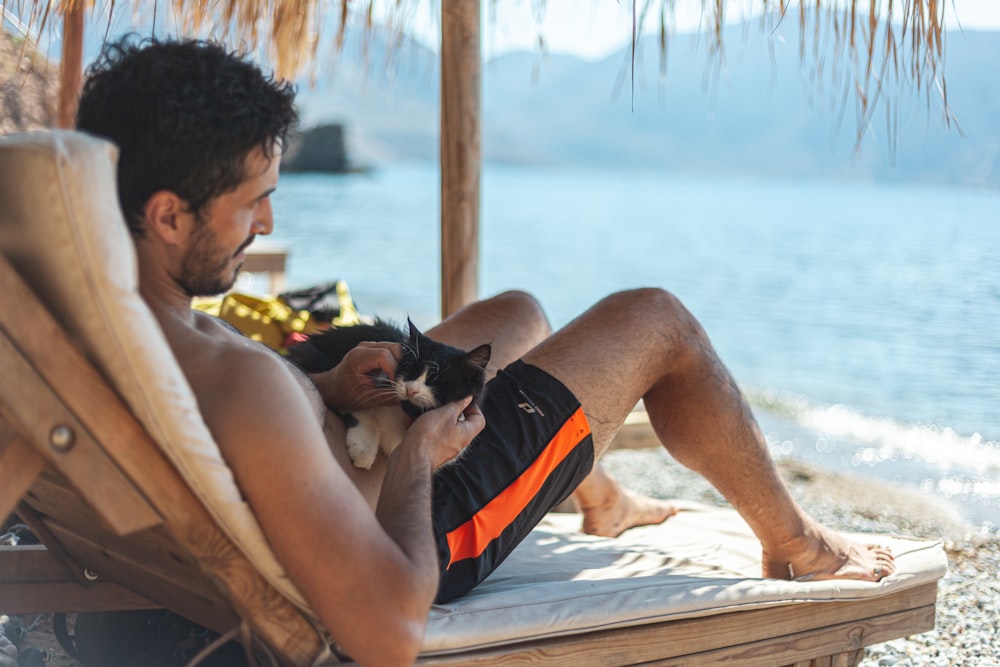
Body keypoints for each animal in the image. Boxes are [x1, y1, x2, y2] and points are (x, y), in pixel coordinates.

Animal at [286, 318, 492, 470]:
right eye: (410, 369)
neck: (410, 412)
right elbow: (359, 409)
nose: (411, 389)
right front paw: (364, 448)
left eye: (438, 380)